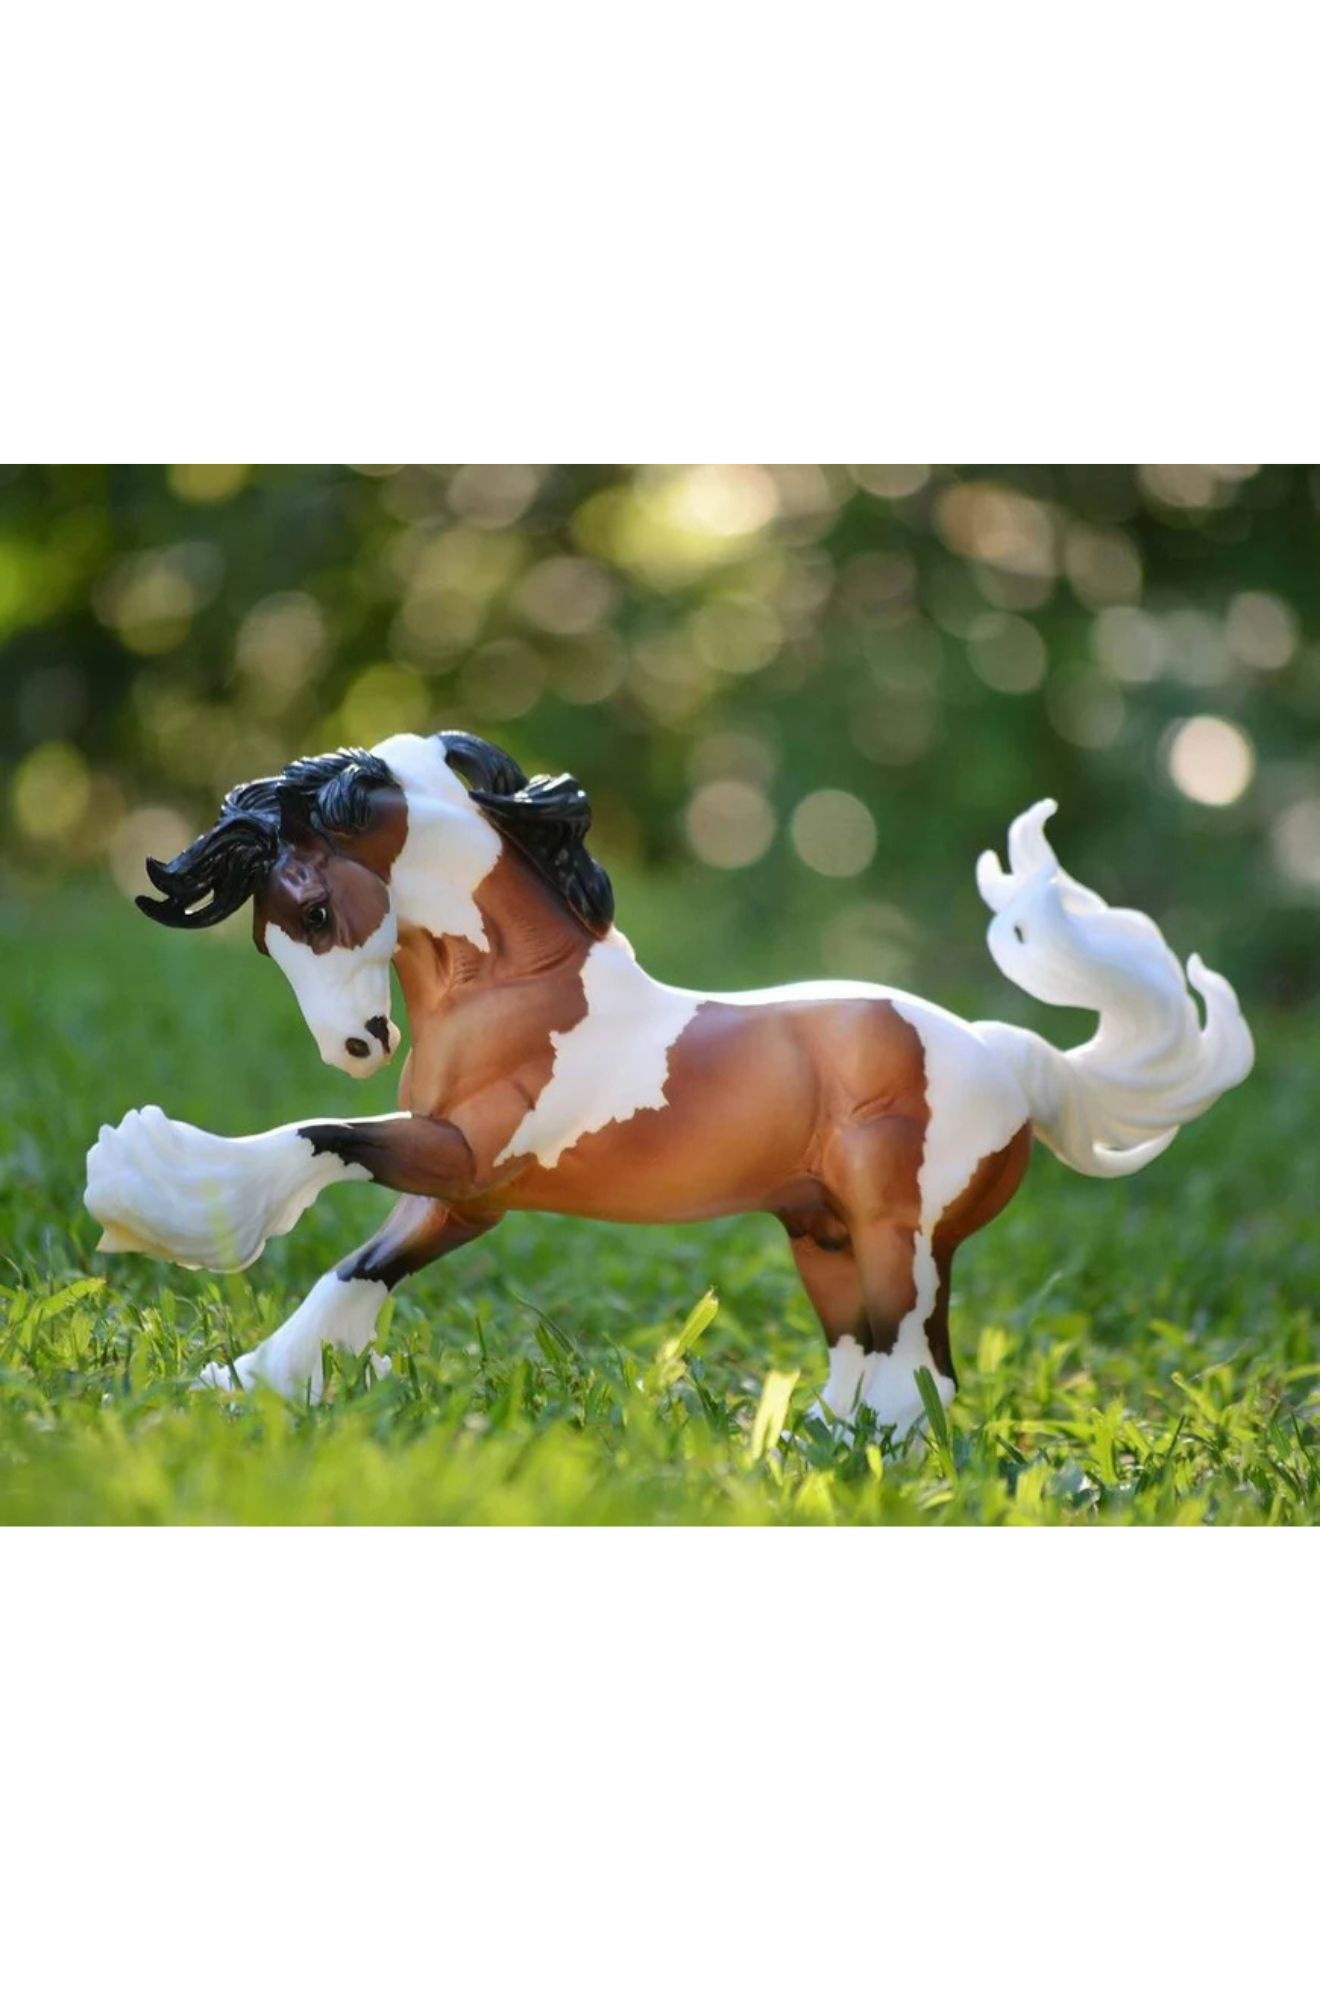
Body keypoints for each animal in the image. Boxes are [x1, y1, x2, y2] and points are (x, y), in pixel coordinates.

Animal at [85, 732, 1258, 1432]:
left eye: (318, 909)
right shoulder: (468, 1194)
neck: (523, 992)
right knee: (875, 1343)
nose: (358, 1044)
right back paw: (817, 1449)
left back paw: (865, 1452)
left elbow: (318, 1138)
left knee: (912, 1347)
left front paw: (156, 1190)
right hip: (822, 1233)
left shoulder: (466, 1158)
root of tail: (1006, 1053)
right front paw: (240, 1383)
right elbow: (357, 1269)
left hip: (904, 1229)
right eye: (267, 937)